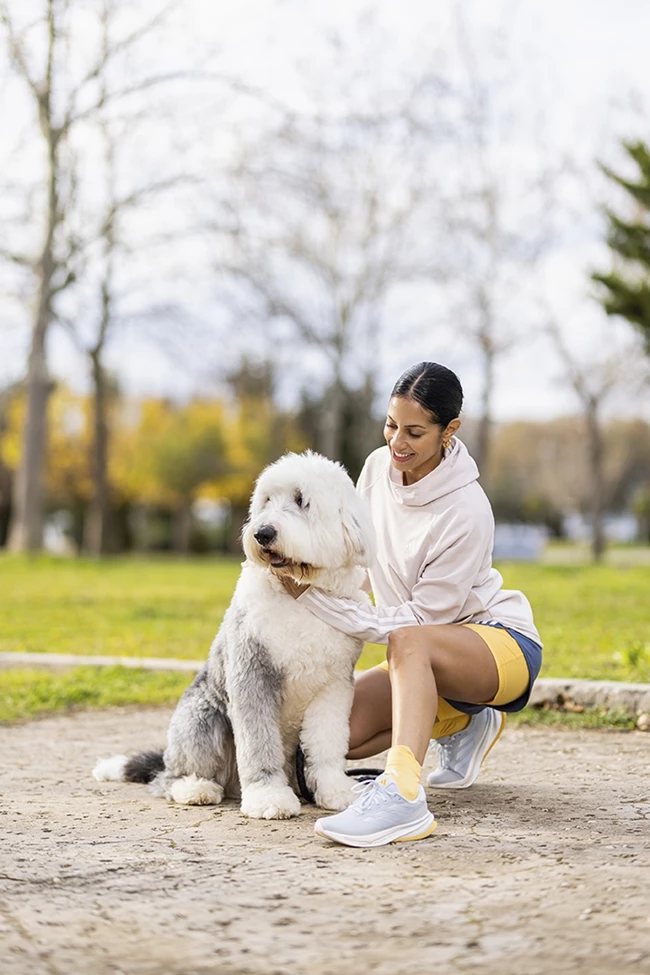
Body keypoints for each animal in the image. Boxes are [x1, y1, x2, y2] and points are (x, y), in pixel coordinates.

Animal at [92, 454, 374, 820]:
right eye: (266, 500)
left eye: (301, 500)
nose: (262, 533)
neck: (300, 593)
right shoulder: (253, 675)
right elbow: (258, 744)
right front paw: (268, 797)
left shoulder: (334, 686)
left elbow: (327, 744)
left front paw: (337, 791)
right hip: (201, 720)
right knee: (170, 778)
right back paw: (196, 789)